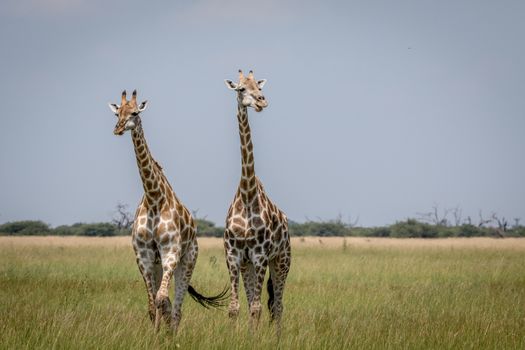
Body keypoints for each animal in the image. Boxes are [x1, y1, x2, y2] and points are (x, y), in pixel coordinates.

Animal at [107, 89, 226, 332]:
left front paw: (163, 335)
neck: (154, 199)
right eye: (117, 112)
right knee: (166, 303)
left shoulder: (171, 252)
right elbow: (153, 305)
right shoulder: (143, 256)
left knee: (177, 307)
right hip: (158, 264)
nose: (118, 129)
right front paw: (154, 334)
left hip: (187, 260)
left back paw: (173, 332)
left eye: (134, 112)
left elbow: (162, 300)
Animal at [223, 69, 290, 334]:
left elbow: (256, 307)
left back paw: (277, 337)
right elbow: (234, 307)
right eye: (241, 88)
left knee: (277, 305)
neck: (247, 195)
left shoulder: (261, 255)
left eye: (258, 87)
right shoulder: (234, 256)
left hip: (281, 260)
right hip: (248, 265)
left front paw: (254, 337)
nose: (262, 101)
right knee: (260, 301)